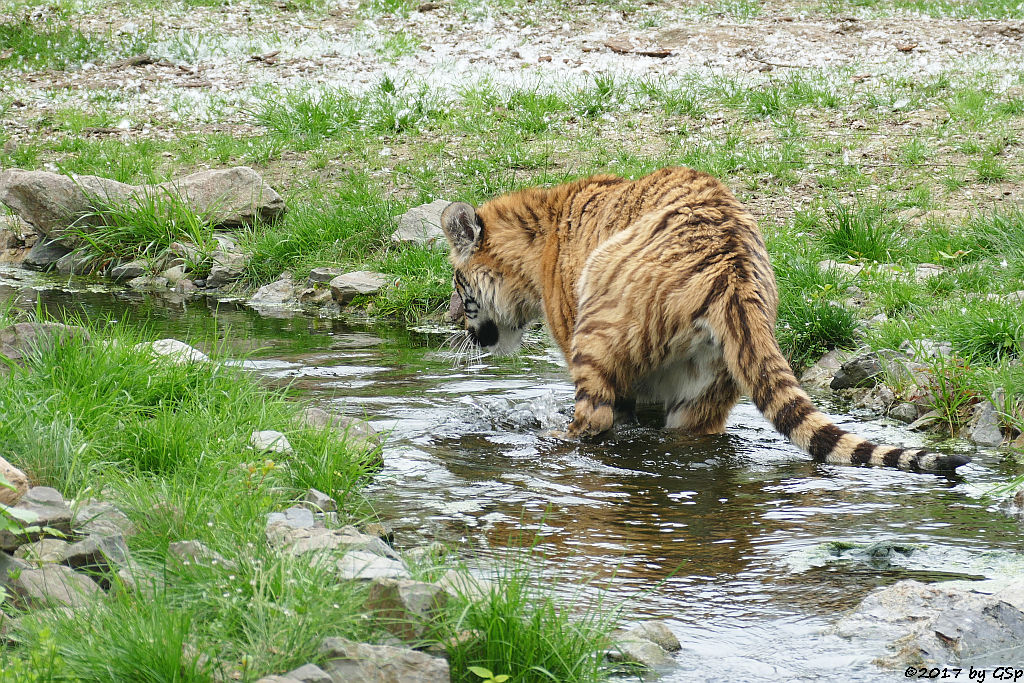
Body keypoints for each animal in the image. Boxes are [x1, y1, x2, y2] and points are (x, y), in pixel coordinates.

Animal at [438, 167, 966, 473]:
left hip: (596, 336)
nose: (453, 324)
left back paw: (548, 439)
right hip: (708, 389)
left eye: (458, 285)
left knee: (593, 419)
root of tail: (732, 270)